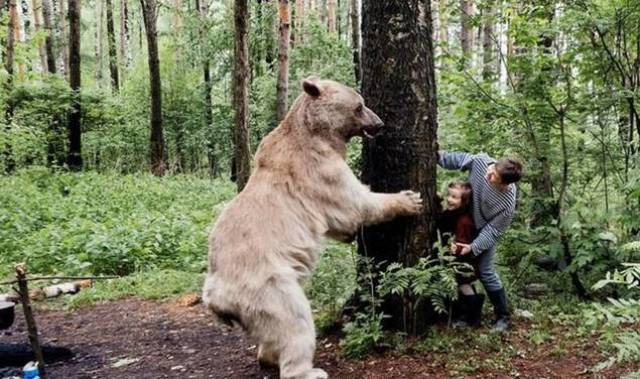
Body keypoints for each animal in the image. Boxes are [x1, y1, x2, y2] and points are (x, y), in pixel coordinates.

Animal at [204, 78, 424, 379]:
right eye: (360, 105)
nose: (379, 124)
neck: (315, 133)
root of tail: (216, 297)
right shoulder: (318, 169)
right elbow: (354, 204)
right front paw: (409, 199)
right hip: (267, 286)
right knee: (295, 321)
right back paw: (308, 370)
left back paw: (268, 357)